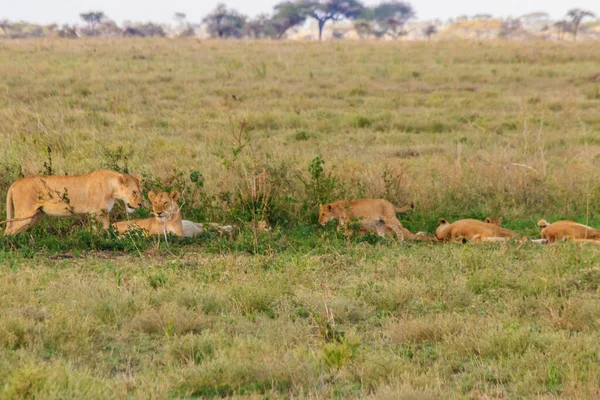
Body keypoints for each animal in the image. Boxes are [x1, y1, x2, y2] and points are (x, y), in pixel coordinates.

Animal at [5, 169, 143, 234]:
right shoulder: (95, 213)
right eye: (134, 192)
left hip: (35, 216)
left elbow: (107, 229)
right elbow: (97, 230)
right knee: (9, 230)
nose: (140, 204)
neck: (112, 188)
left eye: (140, 191)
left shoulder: (104, 213)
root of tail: (15, 183)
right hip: (24, 214)